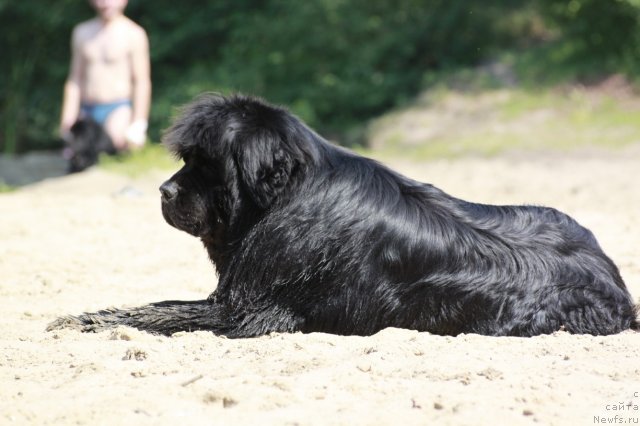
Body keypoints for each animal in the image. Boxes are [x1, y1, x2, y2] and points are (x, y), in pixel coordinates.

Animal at [47, 95, 636, 338]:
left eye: (208, 165)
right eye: (186, 160)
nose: (165, 189)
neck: (287, 199)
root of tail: (617, 283)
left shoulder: (251, 311)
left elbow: (159, 313)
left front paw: (87, 320)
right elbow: (161, 305)